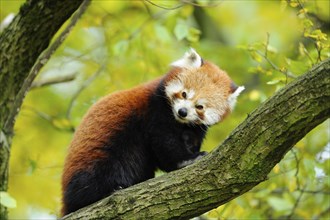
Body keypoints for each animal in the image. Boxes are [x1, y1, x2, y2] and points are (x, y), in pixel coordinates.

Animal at [61, 49, 242, 216]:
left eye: (200, 107)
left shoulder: (195, 129)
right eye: (184, 94)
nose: (182, 112)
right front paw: (186, 160)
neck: (179, 122)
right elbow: (165, 144)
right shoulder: (155, 113)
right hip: (100, 156)